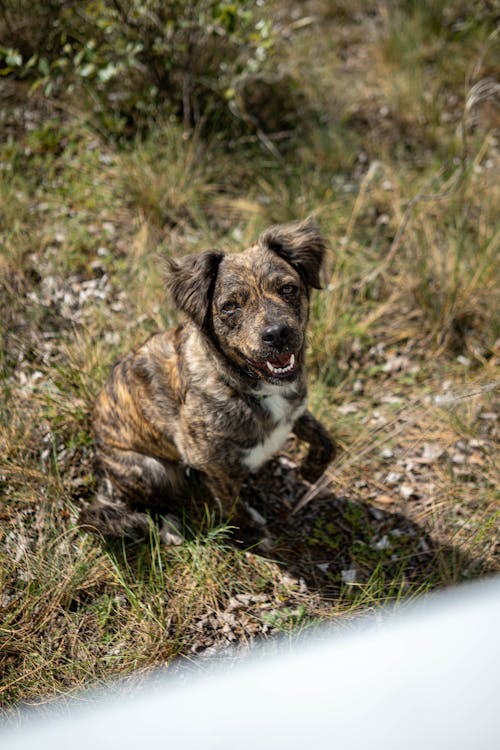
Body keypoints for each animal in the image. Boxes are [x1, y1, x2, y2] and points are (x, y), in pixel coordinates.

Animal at [79, 219, 336, 548]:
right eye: (230, 307)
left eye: (288, 288)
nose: (277, 333)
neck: (245, 387)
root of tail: (103, 470)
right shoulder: (213, 466)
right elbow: (231, 505)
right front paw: (252, 533)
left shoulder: (296, 410)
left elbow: (327, 441)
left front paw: (310, 470)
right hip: (151, 470)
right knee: (153, 506)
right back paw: (169, 527)